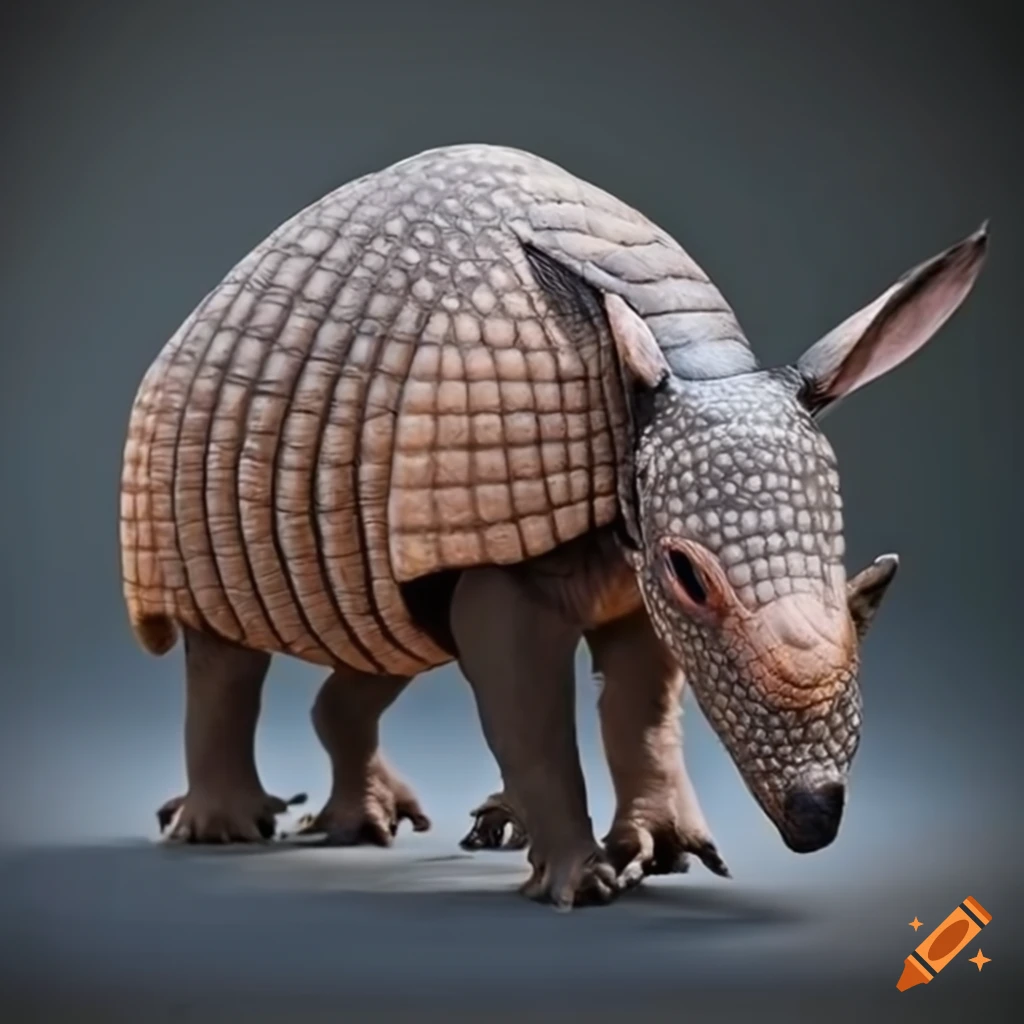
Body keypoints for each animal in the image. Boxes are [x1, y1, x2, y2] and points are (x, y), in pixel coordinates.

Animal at [119, 143, 987, 908]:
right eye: (690, 574)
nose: (816, 819)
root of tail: (193, 325)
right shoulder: (494, 515)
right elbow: (528, 705)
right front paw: (584, 881)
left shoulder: (621, 575)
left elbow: (641, 708)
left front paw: (662, 850)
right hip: (185, 522)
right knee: (224, 664)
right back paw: (227, 828)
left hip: (380, 579)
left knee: (371, 665)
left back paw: (378, 824)